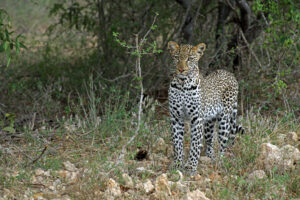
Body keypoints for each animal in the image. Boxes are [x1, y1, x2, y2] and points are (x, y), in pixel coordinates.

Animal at [166, 40, 244, 175]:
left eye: (190, 59)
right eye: (176, 57)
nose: (181, 69)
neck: (182, 84)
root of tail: (230, 74)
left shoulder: (196, 118)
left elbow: (195, 144)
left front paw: (191, 167)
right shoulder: (176, 117)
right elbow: (177, 143)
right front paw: (177, 164)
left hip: (224, 119)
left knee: (223, 143)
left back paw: (219, 162)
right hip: (208, 123)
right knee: (209, 143)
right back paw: (209, 158)